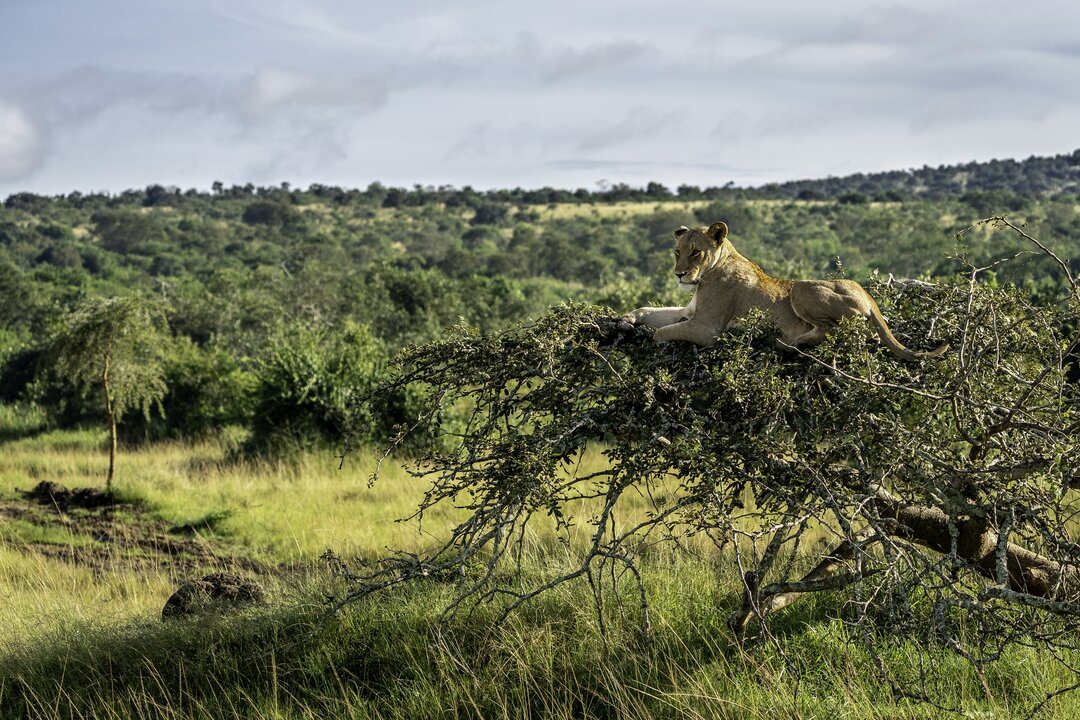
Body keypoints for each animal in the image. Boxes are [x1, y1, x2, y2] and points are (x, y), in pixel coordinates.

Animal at [619, 221, 949, 361]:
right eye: (678, 252)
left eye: (696, 253)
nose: (679, 274)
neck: (707, 274)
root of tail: (871, 300)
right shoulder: (690, 312)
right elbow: (652, 312)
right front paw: (626, 318)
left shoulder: (707, 327)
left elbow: (661, 332)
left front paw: (650, 336)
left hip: (801, 289)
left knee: (835, 332)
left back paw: (789, 343)